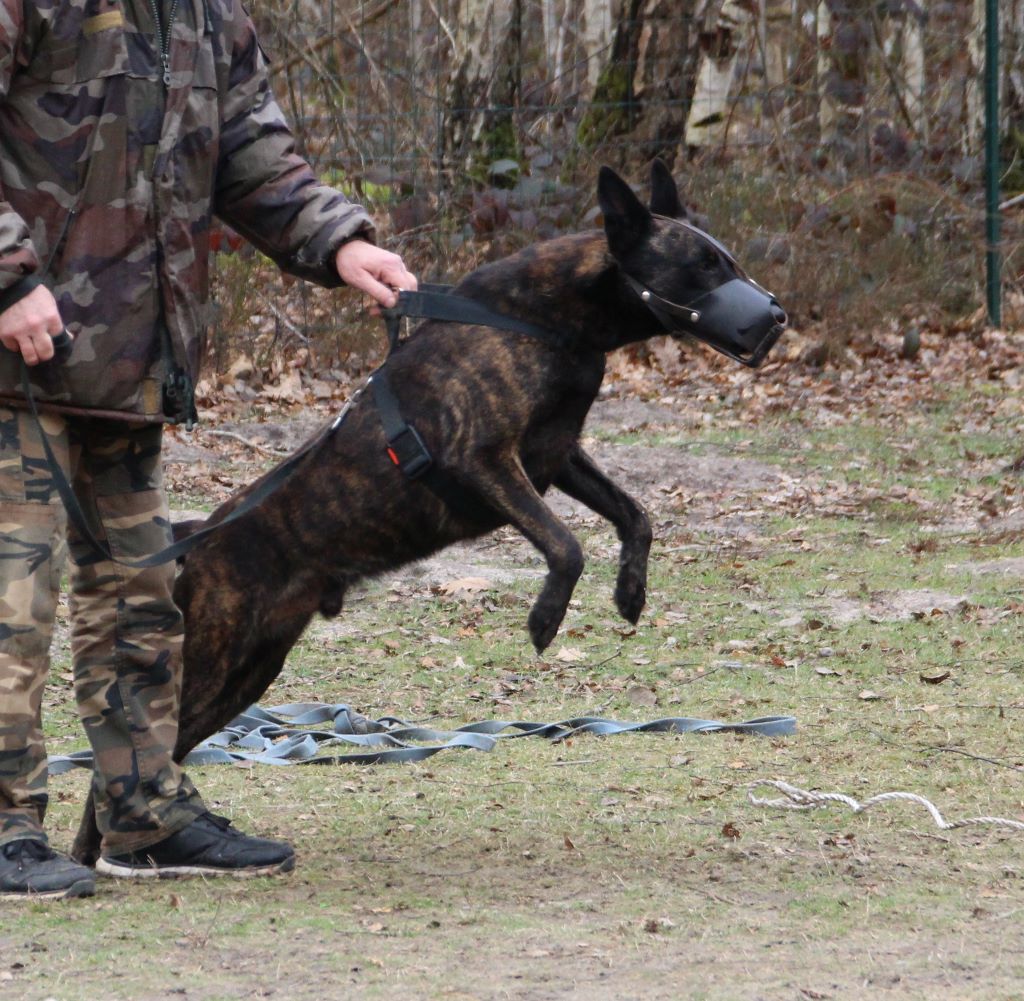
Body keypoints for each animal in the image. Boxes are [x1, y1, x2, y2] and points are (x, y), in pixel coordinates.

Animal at [72, 161, 782, 859]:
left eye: (725, 259)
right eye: (703, 266)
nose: (775, 316)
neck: (552, 319)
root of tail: (200, 535)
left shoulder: (557, 456)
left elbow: (635, 515)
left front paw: (631, 592)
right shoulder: (486, 459)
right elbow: (566, 544)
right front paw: (545, 618)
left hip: (250, 673)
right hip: (216, 660)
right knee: (136, 755)